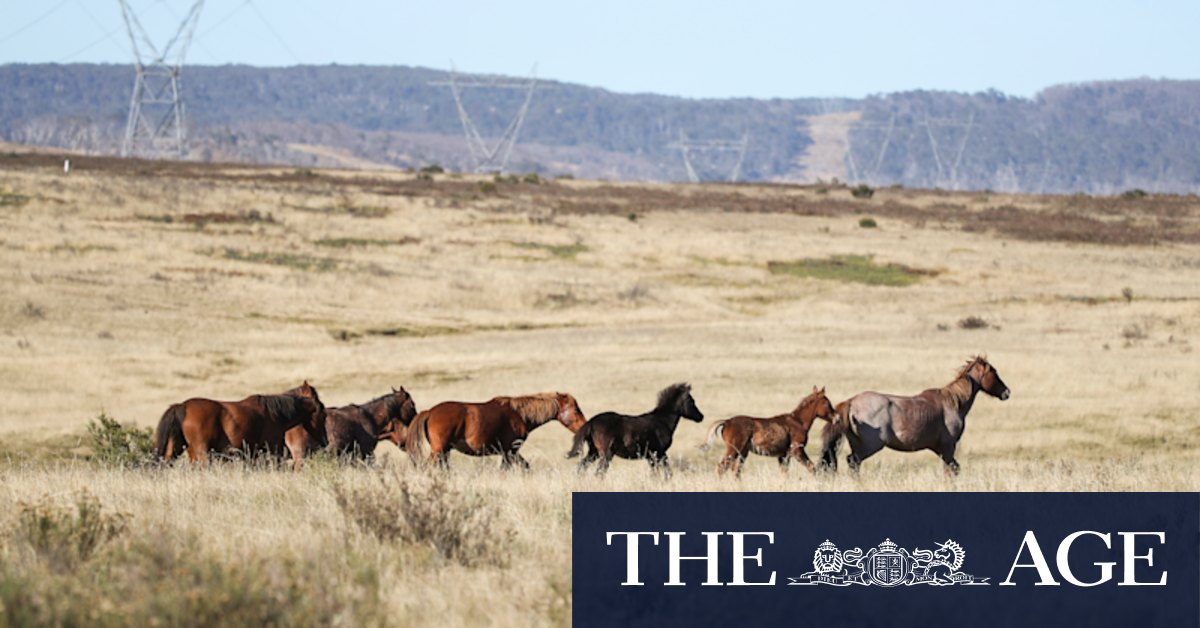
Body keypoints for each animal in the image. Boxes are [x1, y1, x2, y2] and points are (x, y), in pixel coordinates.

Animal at [153, 381, 328, 470]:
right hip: (202, 454)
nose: (325, 441)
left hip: (175, 450)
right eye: (322, 410)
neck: (274, 414)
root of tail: (182, 406)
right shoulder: (273, 451)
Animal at [404, 392, 587, 469]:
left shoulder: (509, 453)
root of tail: (430, 412)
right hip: (439, 451)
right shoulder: (510, 451)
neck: (519, 414)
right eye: (576, 410)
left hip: (444, 452)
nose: (585, 426)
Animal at [567, 382, 704, 477]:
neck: (662, 421)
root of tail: (592, 421)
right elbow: (667, 472)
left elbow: (655, 473)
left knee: (582, 466)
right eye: (691, 401)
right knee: (599, 472)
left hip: (594, 452)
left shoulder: (651, 455)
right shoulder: (660, 452)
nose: (701, 417)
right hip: (606, 454)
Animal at [700, 386, 836, 477]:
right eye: (827, 403)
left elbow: (784, 474)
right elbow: (812, 468)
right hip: (733, 450)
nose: (837, 417)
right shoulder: (797, 450)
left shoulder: (783, 455)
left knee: (735, 471)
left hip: (742, 453)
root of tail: (727, 421)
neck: (798, 421)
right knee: (721, 468)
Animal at [820, 356, 1010, 475]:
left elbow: (954, 468)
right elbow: (950, 470)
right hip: (869, 447)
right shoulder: (948, 446)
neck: (952, 402)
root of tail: (851, 402)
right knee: (853, 462)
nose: (1006, 392)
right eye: (993, 372)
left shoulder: (939, 448)